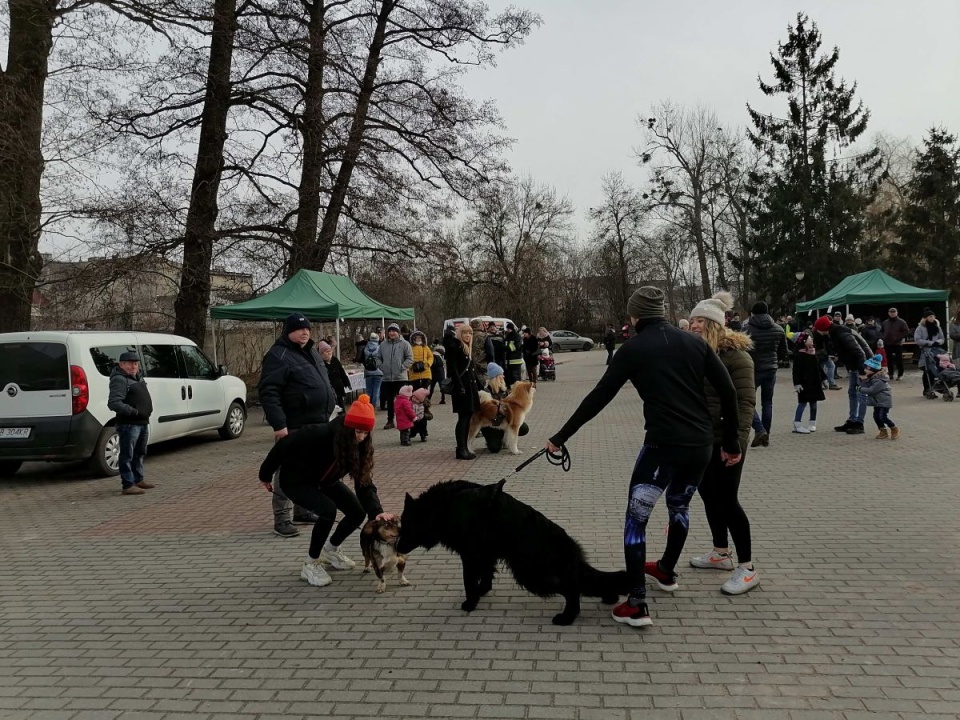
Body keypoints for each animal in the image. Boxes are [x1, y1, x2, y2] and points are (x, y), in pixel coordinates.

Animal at [398, 478, 632, 624]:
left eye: (406, 526)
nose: (398, 548)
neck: (445, 507)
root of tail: (568, 547)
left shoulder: (470, 555)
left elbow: (468, 581)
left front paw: (471, 603)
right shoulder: (486, 554)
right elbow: (486, 577)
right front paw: (482, 592)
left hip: (530, 574)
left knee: (573, 589)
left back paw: (566, 618)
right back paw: (609, 595)